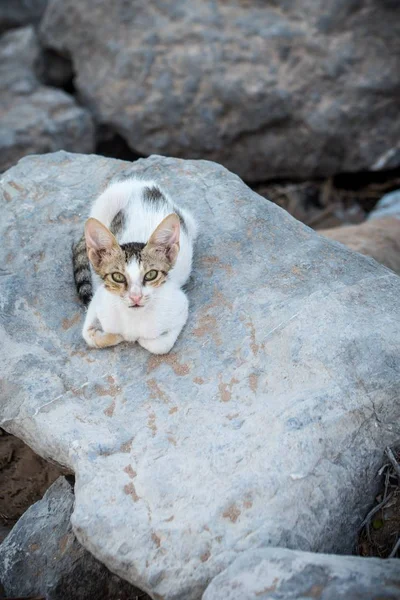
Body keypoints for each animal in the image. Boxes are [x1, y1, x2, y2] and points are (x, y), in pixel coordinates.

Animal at [73, 178, 197, 356]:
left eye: (151, 275)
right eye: (118, 277)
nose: (135, 297)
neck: (132, 318)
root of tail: (144, 184)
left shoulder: (180, 306)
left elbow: (159, 345)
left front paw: (137, 339)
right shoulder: (98, 300)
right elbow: (89, 335)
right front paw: (118, 336)